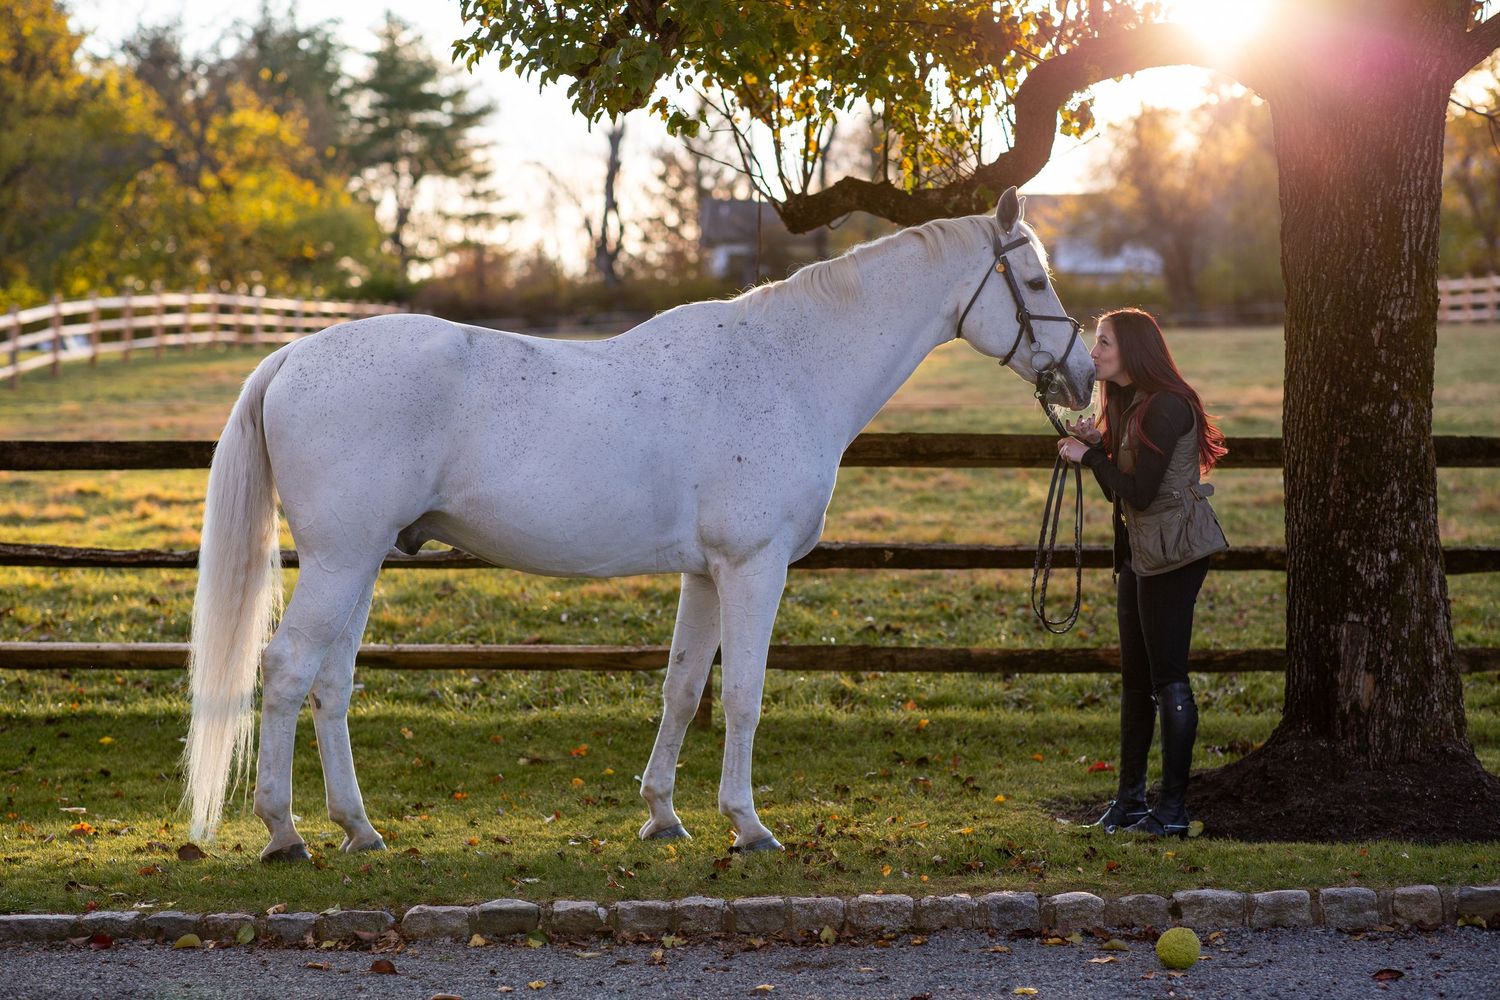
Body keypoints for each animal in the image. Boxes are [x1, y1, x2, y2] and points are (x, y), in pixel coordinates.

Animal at [184, 186, 1094, 860]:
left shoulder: (706, 572)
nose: (1082, 377)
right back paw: (284, 834)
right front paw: (749, 826)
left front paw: (663, 815)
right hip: (340, 561)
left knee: (331, 684)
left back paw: (359, 829)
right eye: (1037, 283)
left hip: (363, 563)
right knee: (288, 669)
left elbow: (684, 689)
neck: (788, 365)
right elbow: (743, 695)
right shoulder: (753, 567)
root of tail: (292, 356)